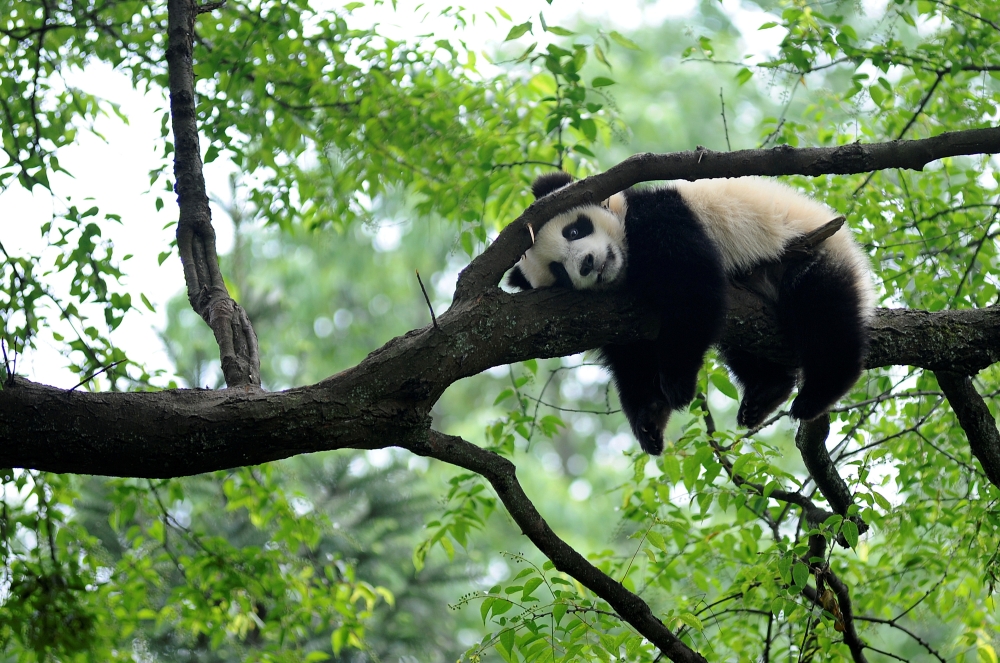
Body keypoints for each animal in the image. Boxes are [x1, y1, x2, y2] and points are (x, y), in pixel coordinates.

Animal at [507, 171, 874, 455]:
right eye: (559, 272)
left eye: (573, 231)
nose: (586, 264)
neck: (625, 264)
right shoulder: (614, 314)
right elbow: (632, 357)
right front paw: (649, 418)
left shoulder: (660, 217)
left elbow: (692, 286)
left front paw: (678, 383)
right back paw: (765, 391)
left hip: (811, 251)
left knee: (823, 313)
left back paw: (817, 392)